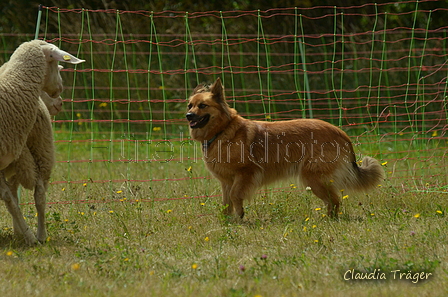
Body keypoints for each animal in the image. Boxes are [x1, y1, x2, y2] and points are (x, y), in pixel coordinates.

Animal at [0, 38, 85, 243]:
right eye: (56, 65)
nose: (60, 100)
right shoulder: (39, 154)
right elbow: (38, 196)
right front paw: (37, 237)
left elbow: (11, 198)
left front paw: (25, 233)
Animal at [186, 78, 384, 217]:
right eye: (190, 105)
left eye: (203, 105)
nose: (188, 116)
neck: (223, 130)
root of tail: (340, 132)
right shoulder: (226, 181)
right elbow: (226, 204)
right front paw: (227, 222)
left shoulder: (246, 173)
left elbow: (235, 196)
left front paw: (240, 215)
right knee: (332, 200)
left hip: (312, 178)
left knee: (334, 201)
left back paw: (329, 221)